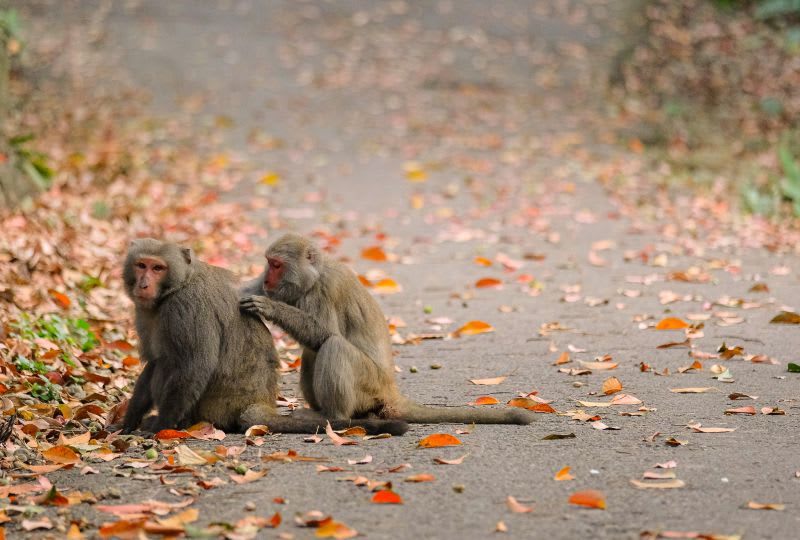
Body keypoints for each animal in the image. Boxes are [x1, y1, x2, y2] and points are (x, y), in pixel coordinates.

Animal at [119, 238, 406, 436]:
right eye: (141, 265)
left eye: (158, 268)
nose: (144, 284)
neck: (175, 288)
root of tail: (257, 403)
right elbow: (154, 362)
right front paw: (128, 421)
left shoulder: (185, 308)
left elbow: (193, 365)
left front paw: (161, 425)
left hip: (215, 408)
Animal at [241, 232, 536, 426]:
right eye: (268, 263)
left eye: (276, 265)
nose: (266, 279)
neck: (313, 278)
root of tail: (390, 389)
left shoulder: (325, 290)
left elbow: (324, 332)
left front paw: (270, 307)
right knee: (314, 352)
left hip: (370, 385)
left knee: (333, 346)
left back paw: (334, 416)